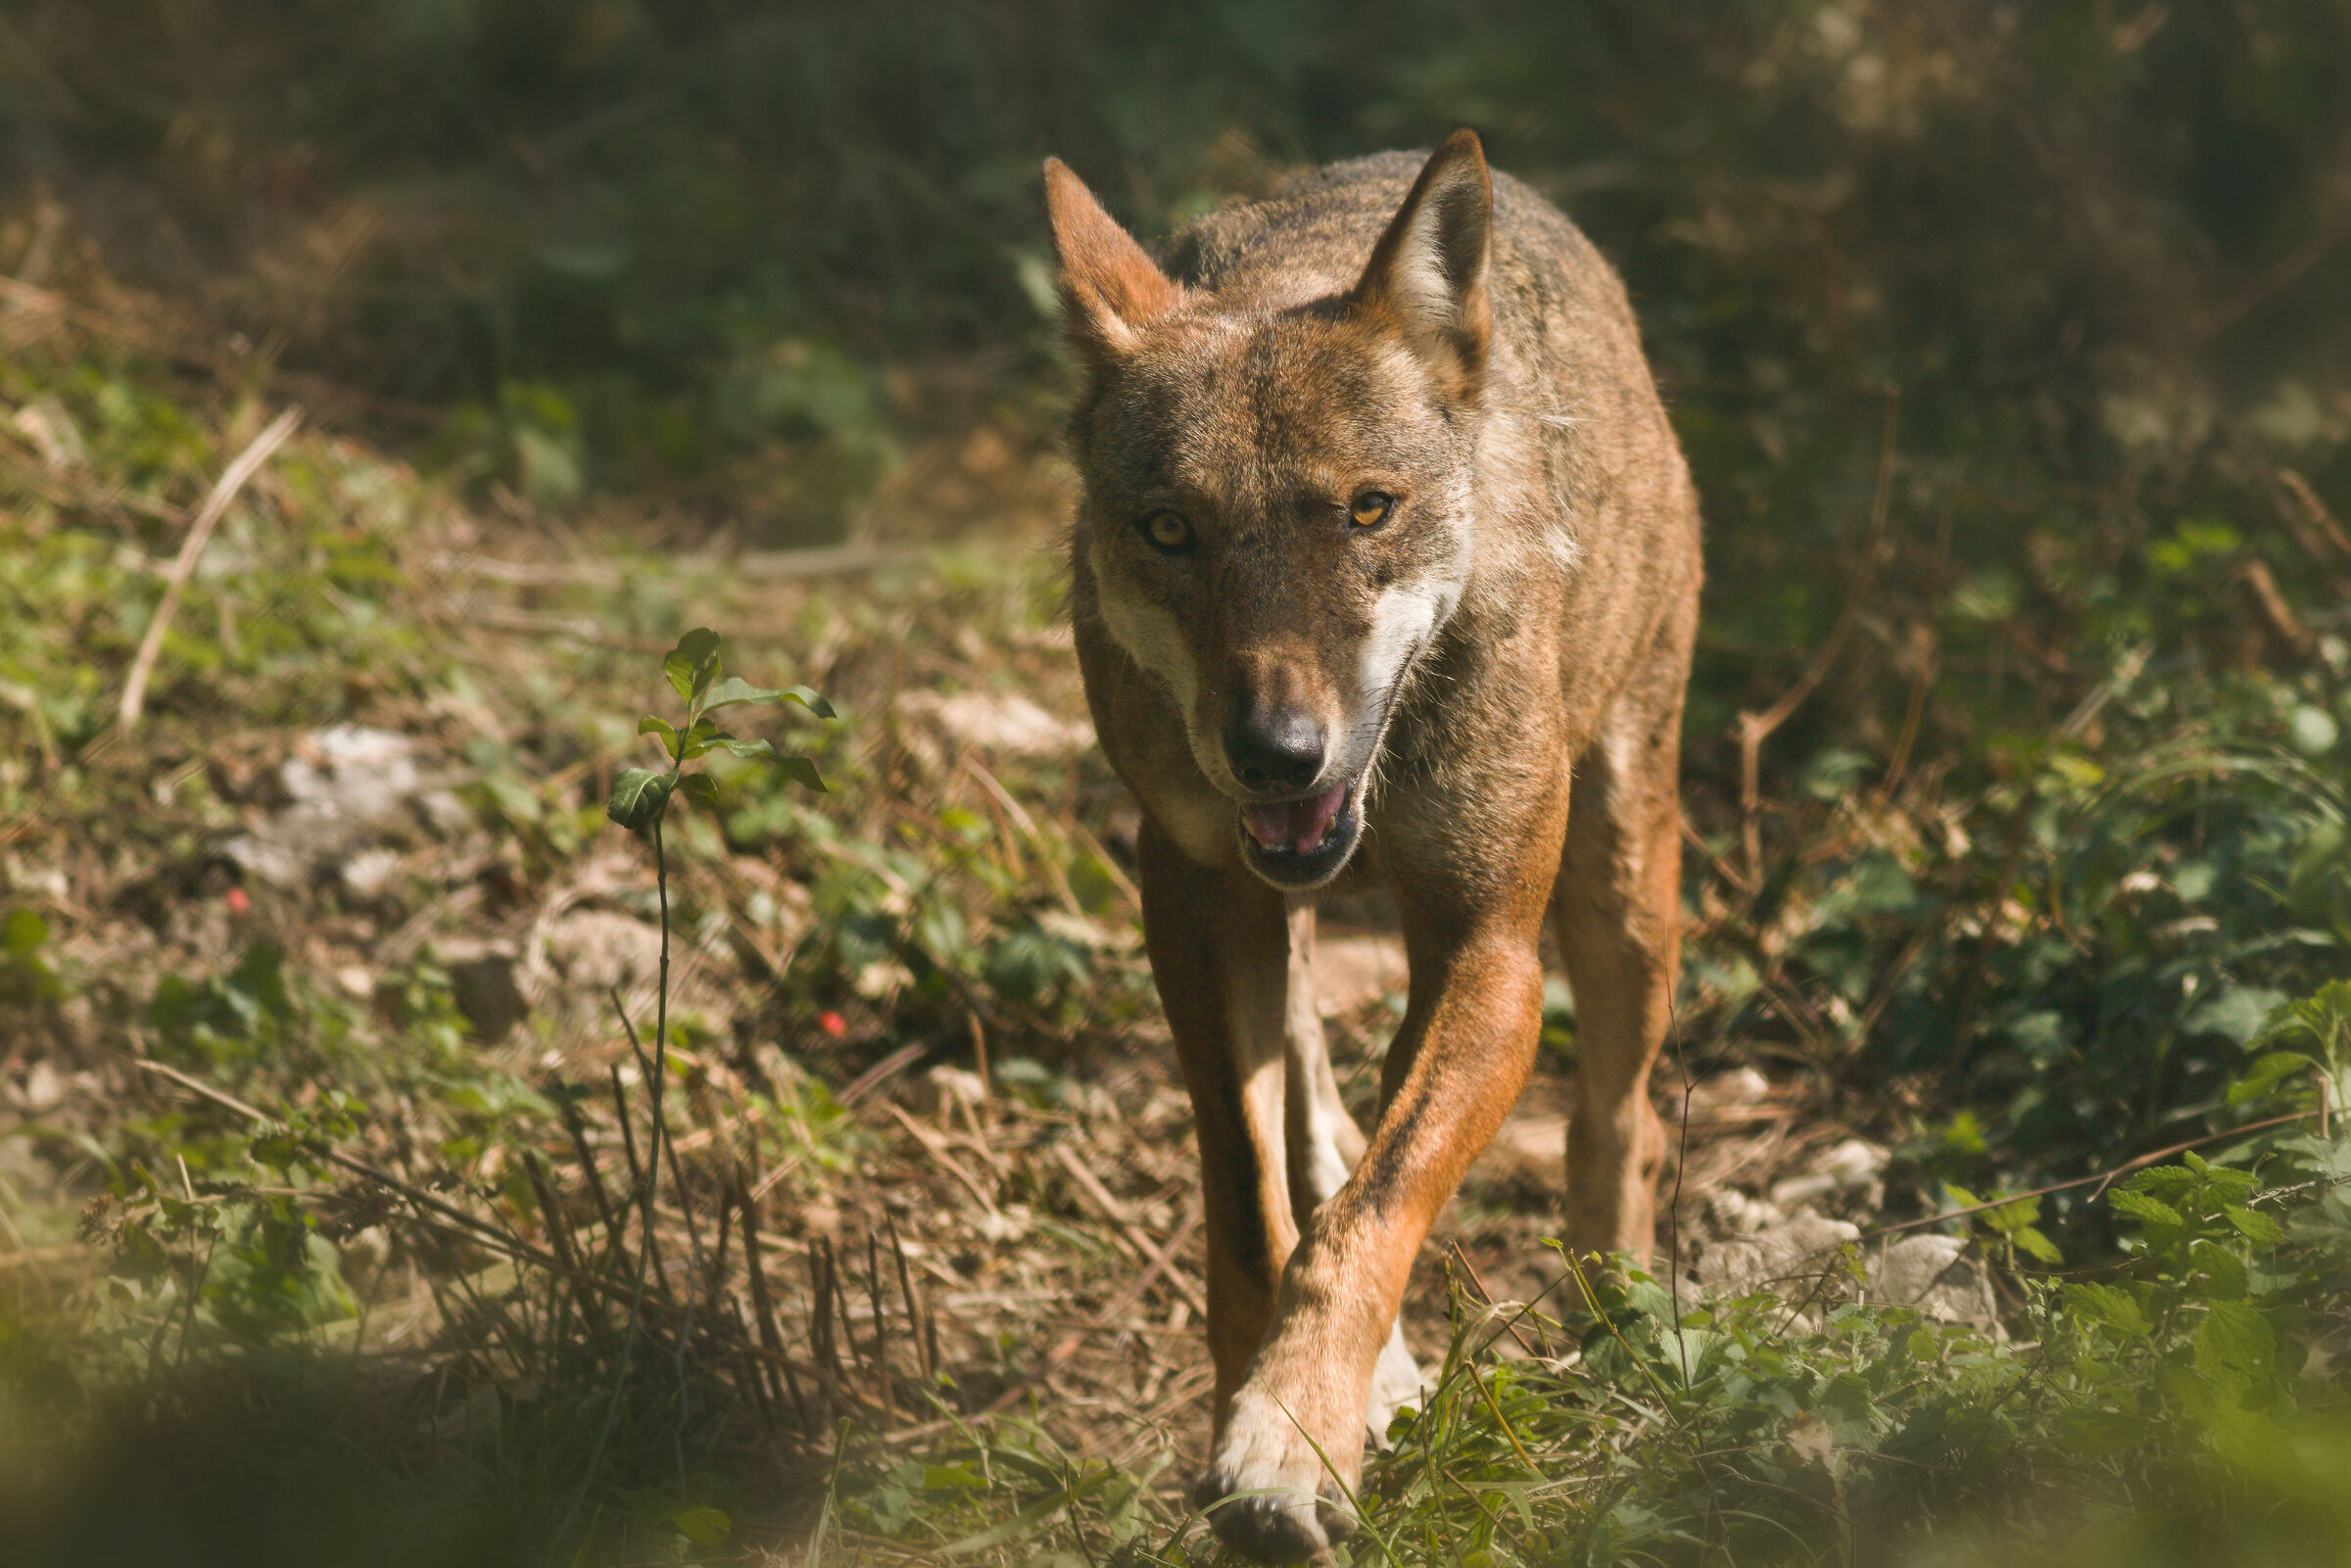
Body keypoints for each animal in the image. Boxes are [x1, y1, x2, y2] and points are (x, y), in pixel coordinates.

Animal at [1045, 129, 1702, 1561]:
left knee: (1618, 1120)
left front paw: (1289, 1437)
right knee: (1314, 1104)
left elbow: (1374, 1209)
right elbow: (1259, 1208)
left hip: (1622, 891)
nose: (1275, 752)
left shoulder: (1490, 948)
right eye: (1169, 529)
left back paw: (1621, 1322)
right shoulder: (1190, 897)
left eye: (1366, 509)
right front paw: (1276, 1412)